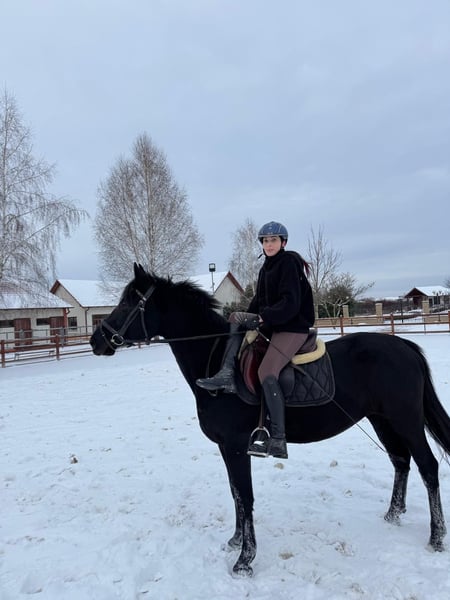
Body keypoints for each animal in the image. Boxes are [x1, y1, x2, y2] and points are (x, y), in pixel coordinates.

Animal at [90, 263, 450, 576]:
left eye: (129, 301)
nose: (97, 340)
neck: (216, 363)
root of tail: (404, 346)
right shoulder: (226, 448)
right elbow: (235, 493)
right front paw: (235, 541)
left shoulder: (237, 446)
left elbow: (245, 496)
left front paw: (244, 560)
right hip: (381, 419)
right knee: (400, 461)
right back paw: (392, 515)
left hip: (406, 420)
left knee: (428, 466)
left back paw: (436, 537)